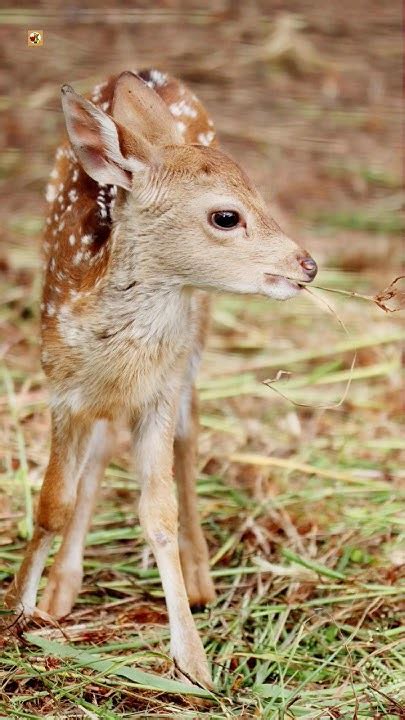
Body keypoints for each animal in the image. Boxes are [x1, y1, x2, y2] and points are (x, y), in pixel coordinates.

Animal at [4, 70, 318, 688]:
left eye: (260, 196)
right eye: (227, 216)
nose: (307, 265)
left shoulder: (159, 392)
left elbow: (159, 512)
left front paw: (193, 663)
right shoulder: (62, 387)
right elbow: (52, 502)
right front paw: (21, 609)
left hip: (194, 343)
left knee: (189, 436)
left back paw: (200, 580)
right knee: (107, 444)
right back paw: (61, 590)